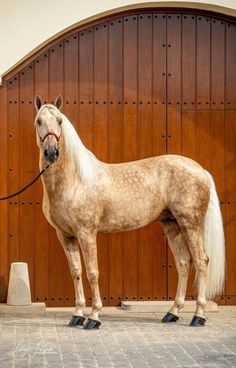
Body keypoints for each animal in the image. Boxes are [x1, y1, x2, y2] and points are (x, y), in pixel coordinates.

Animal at [34, 96, 225, 330]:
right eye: (39, 121)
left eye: (60, 121)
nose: (52, 152)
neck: (74, 180)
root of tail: (200, 170)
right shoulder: (66, 235)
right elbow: (76, 272)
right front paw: (77, 315)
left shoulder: (86, 233)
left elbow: (92, 273)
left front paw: (94, 317)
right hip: (172, 224)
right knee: (183, 263)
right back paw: (172, 313)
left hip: (190, 224)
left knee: (201, 261)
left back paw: (198, 316)